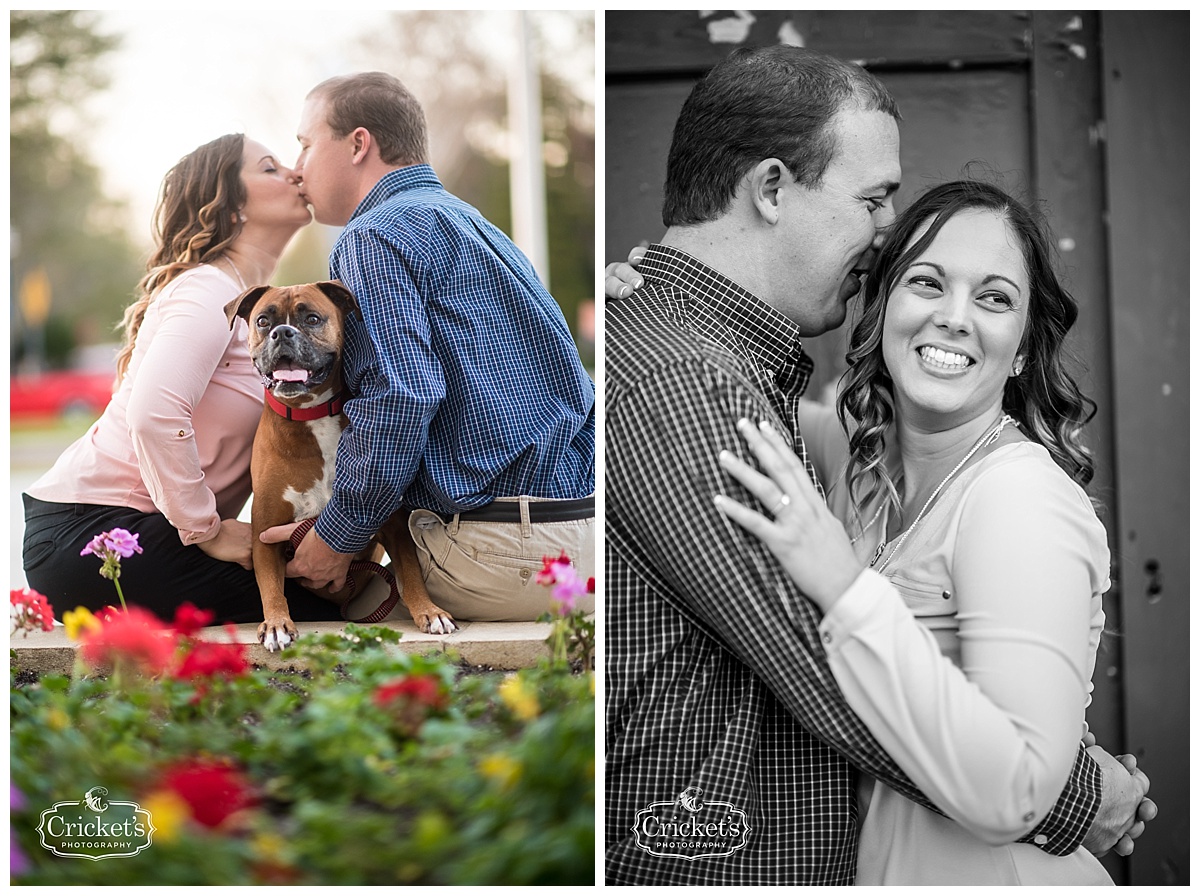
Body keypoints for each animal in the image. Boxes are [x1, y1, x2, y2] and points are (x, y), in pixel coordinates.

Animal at [224, 280, 453, 652]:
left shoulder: (390, 519)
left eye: (313, 319)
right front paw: (276, 624)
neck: (310, 414)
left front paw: (429, 611)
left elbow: (410, 572)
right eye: (262, 321)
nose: (281, 332)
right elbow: (271, 585)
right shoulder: (266, 532)